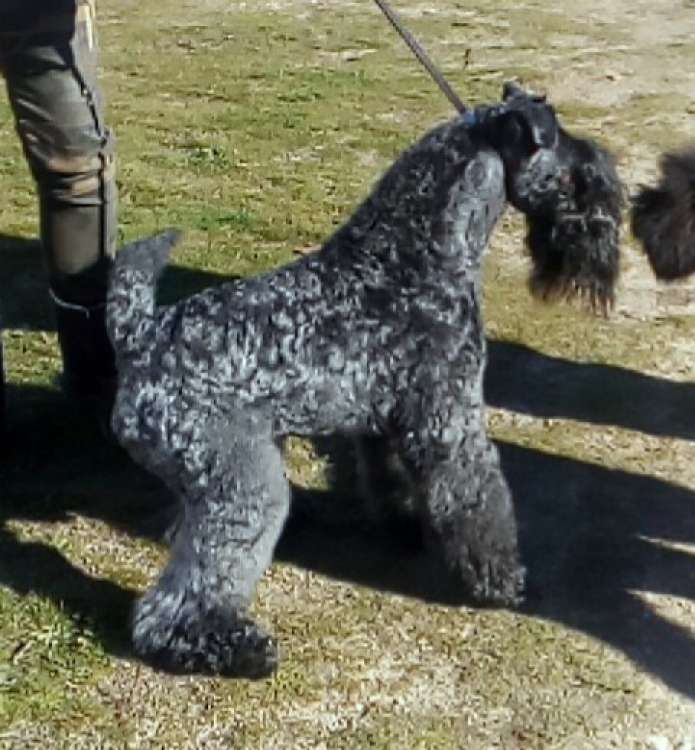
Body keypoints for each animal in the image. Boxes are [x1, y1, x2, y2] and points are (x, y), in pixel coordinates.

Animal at [107, 83, 624, 680]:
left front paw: (404, 528)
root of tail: (144, 335)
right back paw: (227, 646)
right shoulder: (451, 420)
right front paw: (500, 582)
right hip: (246, 486)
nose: (610, 202)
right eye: (572, 163)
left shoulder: (382, 423)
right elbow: (479, 501)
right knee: (182, 596)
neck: (410, 257)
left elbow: (390, 479)